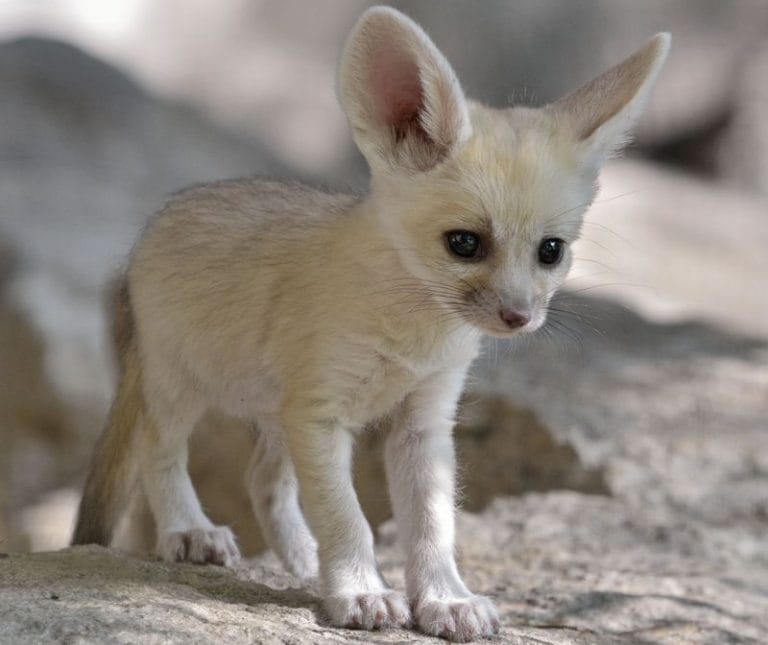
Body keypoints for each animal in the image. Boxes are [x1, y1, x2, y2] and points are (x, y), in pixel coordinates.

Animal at [71, 6, 669, 642]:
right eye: (464, 243)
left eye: (551, 252)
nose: (519, 318)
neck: (414, 334)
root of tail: (160, 217)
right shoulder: (321, 415)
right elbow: (348, 516)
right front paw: (361, 591)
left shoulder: (421, 422)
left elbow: (432, 526)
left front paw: (446, 599)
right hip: (180, 389)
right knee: (160, 455)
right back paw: (190, 531)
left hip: (276, 417)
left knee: (263, 482)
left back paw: (302, 560)